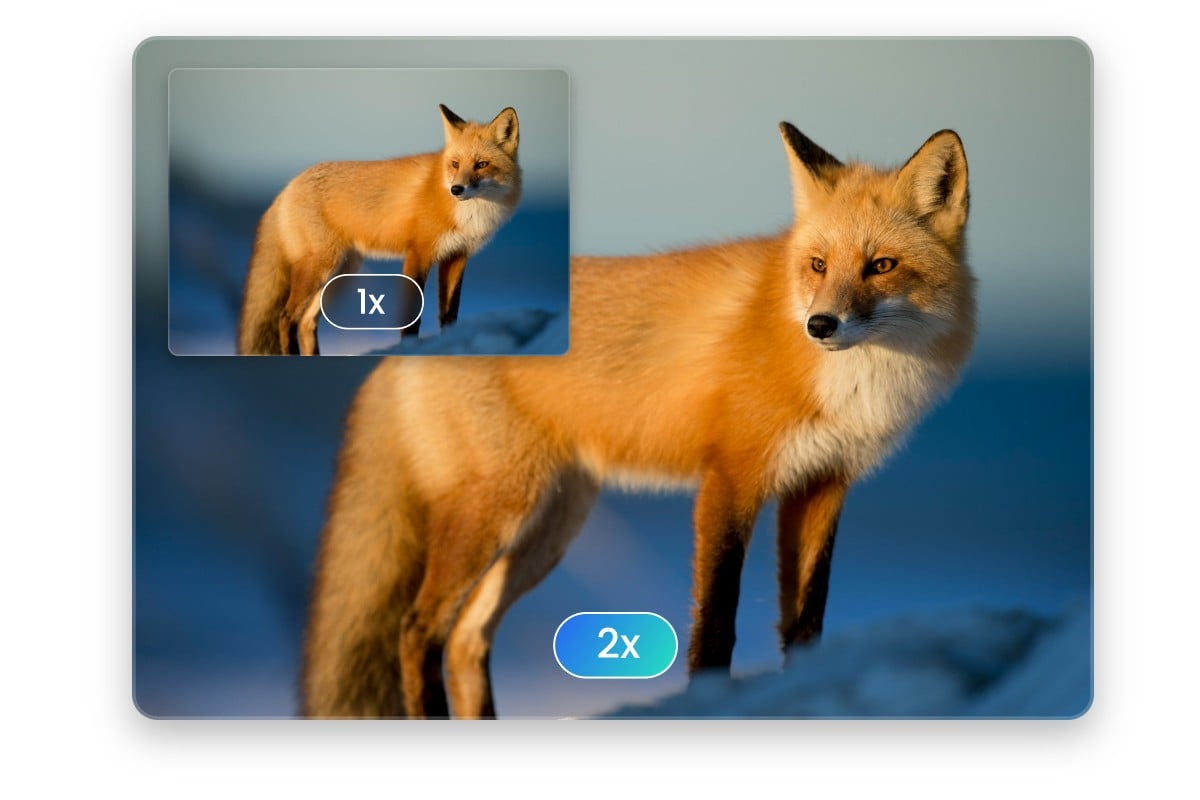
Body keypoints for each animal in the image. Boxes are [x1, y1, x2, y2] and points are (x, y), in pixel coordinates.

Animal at [236, 104, 522, 355]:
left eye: (481, 164)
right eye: (454, 164)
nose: (456, 189)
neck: (469, 213)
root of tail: (287, 188)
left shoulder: (457, 256)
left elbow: (449, 314)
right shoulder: (418, 253)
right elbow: (412, 316)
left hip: (339, 273)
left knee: (306, 322)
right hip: (320, 268)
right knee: (286, 318)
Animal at [301, 124, 975, 718]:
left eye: (881, 266)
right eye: (817, 264)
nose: (821, 325)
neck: (851, 384)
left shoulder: (822, 485)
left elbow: (806, 624)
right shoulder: (730, 481)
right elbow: (715, 628)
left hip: (547, 528)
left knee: (466, 639)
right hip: (495, 513)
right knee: (418, 632)